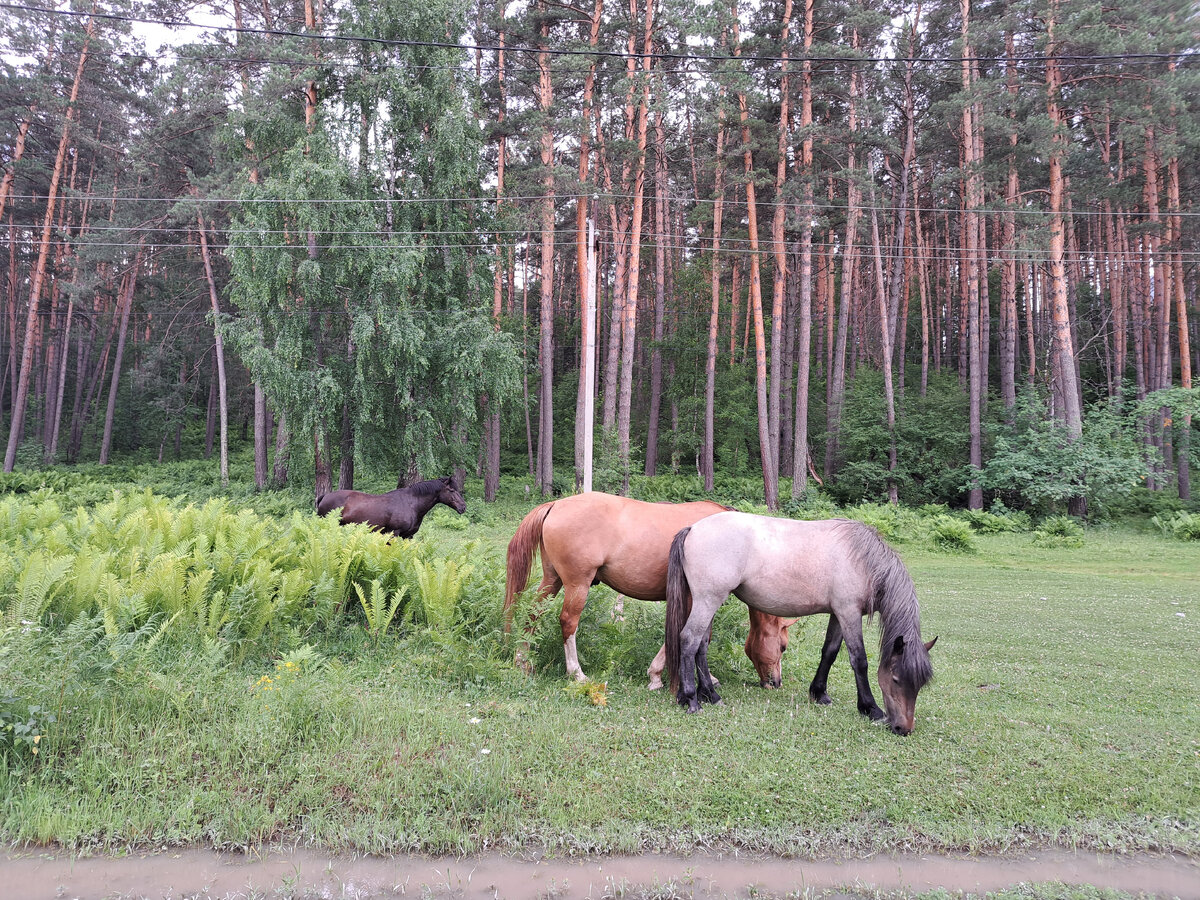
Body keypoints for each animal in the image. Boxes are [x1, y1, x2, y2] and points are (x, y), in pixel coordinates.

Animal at [316, 475, 465, 540]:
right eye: (451, 490)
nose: (463, 507)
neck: (411, 504)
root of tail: (324, 496)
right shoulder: (393, 533)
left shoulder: (408, 537)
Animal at [504, 496, 792, 686]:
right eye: (783, 647)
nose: (775, 681)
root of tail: (555, 505)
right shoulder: (702, 598)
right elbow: (698, 636)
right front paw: (693, 677)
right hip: (577, 585)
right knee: (568, 623)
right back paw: (576, 674)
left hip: (552, 581)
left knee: (532, 615)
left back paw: (522, 662)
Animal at [667, 513, 936, 739]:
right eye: (896, 679)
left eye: (919, 684)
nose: (904, 729)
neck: (862, 560)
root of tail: (693, 529)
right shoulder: (849, 613)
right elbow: (859, 660)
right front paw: (871, 708)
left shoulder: (838, 614)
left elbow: (829, 652)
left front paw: (819, 693)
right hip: (708, 600)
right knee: (689, 640)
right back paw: (691, 700)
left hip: (710, 602)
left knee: (701, 645)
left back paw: (710, 695)